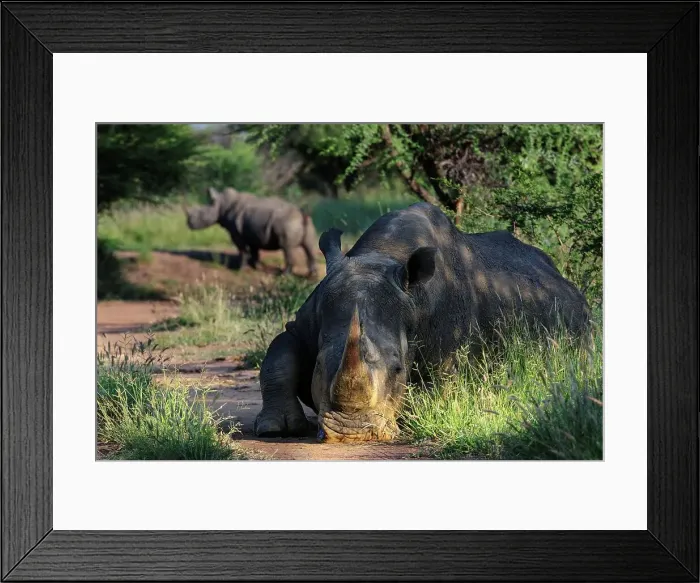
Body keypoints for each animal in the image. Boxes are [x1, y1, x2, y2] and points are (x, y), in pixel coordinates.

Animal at [185, 187, 318, 276]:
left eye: (201, 214)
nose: (188, 225)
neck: (220, 205)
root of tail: (301, 213)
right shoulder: (253, 232)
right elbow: (254, 251)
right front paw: (256, 267)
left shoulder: (237, 234)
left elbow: (243, 251)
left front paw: (240, 269)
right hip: (307, 223)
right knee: (309, 247)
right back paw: (311, 276)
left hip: (287, 223)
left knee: (286, 247)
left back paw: (284, 275)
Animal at [254, 202, 591, 442]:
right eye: (319, 367)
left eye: (397, 368)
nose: (353, 434)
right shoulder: (307, 323)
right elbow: (278, 359)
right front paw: (274, 429)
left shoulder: (450, 348)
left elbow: (436, 388)